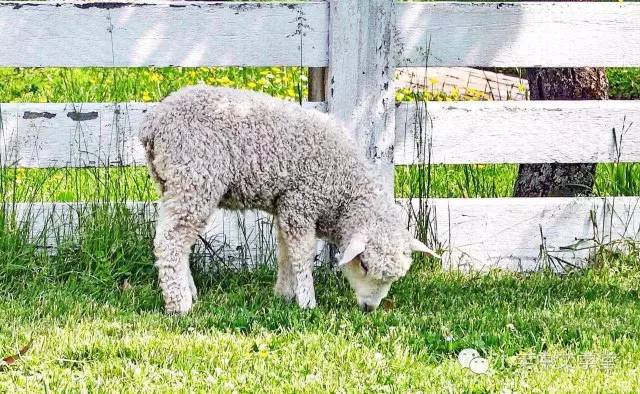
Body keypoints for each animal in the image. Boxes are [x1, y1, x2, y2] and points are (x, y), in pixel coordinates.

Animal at [139, 85, 440, 314]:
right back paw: (180, 305)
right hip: (194, 179)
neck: (344, 188)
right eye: (364, 265)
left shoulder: (286, 206)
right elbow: (303, 256)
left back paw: (189, 291)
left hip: (172, 184)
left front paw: (284, 294)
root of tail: (154, 123)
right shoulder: (301, 204)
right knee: (169, 243)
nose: (369, 309)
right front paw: (307, 302)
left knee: (180, 243)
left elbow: (285, 254)